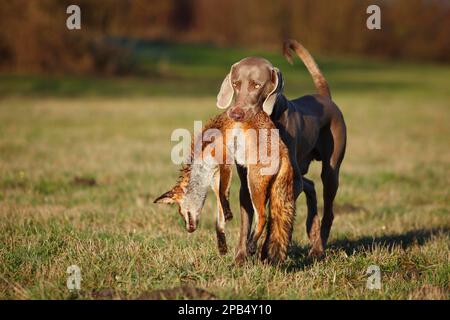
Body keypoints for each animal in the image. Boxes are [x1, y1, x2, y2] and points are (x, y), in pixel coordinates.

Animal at [153, 110, 298, 264]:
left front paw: (228, 214)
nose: (188, 230)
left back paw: (251, 244)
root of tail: (284, 151)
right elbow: (219, 214)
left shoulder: (224, 160)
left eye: (181, 212)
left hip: (253, 183)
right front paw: (222, 245)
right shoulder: (215, 179)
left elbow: (223, 196)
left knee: (263, 217)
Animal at [216, 39, 346, 262]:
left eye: (256, 85)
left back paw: (318, 248)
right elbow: (245, 221)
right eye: (235, 83)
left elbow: (275, 212)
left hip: (330, 170)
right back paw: (312, 230)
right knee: (310, 185)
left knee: (327, 206)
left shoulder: (286, 181)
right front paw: (241, 257)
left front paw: (265, 252)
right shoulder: (246, 183)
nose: (236, 114)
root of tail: (325, 97)